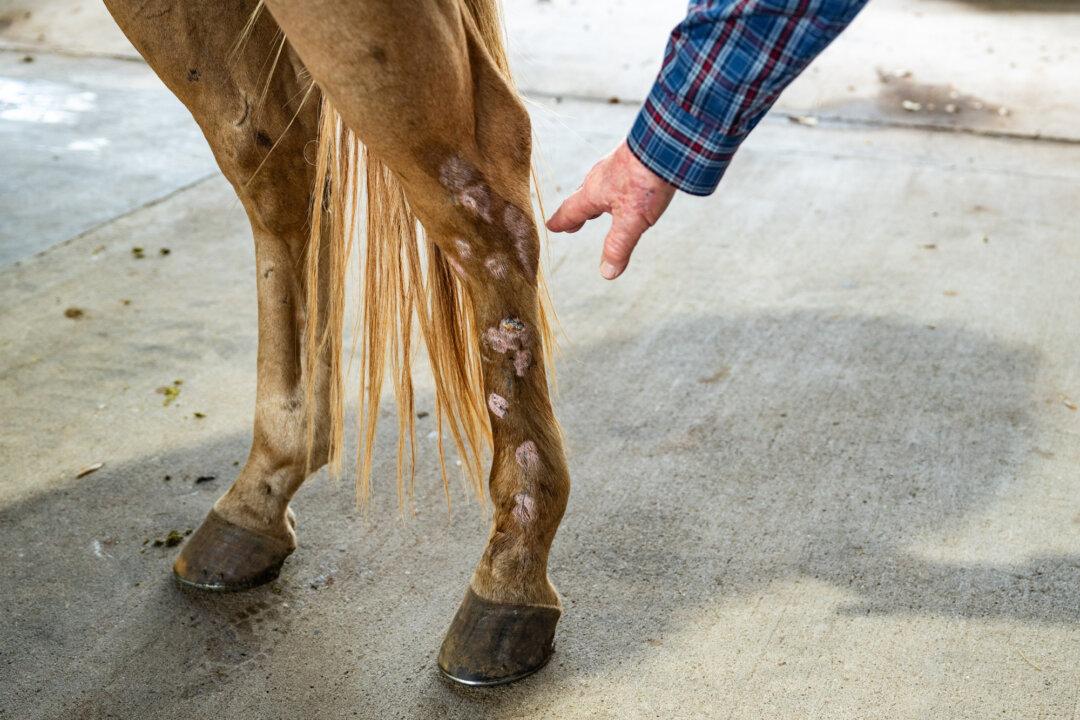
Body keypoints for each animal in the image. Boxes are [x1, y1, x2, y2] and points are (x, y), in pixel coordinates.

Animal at [102, 0, 567, 686]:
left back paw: (508, 576)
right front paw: (270, 481)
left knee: (474, 184)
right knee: (275, 162)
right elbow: (263, 156)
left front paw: (511, 578)